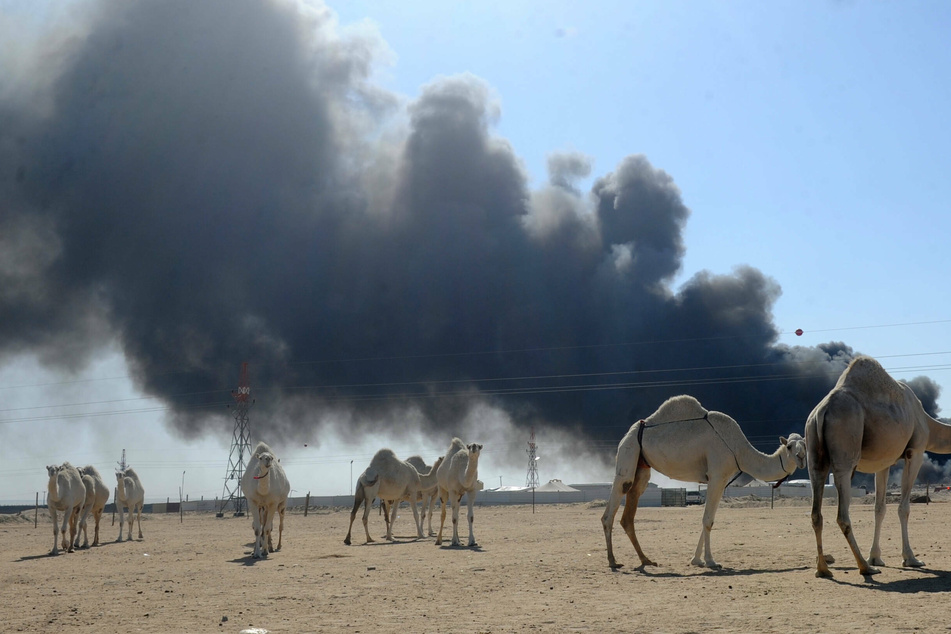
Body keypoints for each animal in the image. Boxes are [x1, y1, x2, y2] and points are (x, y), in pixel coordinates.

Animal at [604, 396, 804, 568]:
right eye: (789, 446)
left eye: (804, 444)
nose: (801, 457)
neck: (739, 450)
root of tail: (630, 432)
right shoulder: (717, 475)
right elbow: (708, 520)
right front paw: (710, 561)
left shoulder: (720, 479)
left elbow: (708, 518)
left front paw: (696, 559)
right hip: (628, 450)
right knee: (616, 500)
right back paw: (613, 561)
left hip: (642, 464)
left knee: (630, 509)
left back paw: (645, 560)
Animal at [808, 354, 951, 576]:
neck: (927, 423)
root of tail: (823, 410)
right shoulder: (916, 452)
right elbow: (903, 508)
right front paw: (910, 559)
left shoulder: (884, 462)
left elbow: (879, 508)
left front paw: (875, 557)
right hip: (845, 448)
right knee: (842, 515)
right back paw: (864, 568)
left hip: (814, 453)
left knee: (816, 512)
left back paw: (823, 569)